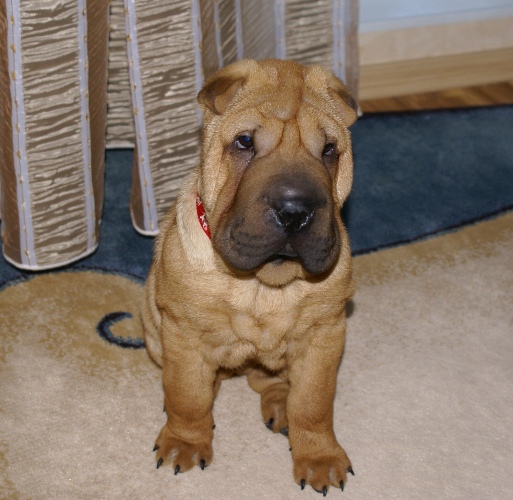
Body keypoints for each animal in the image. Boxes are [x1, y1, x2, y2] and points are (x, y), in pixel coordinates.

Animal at [142, 59, 358, 495]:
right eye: (244, 142)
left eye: (329, 150)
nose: (295, 211)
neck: (263, 282)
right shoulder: (184, 332)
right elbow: (187, 394)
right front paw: (184, 442)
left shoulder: (325, 334)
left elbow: (313, 403)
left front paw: (319, 457)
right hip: (152, 325)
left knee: (272, 383)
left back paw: (280, 406)